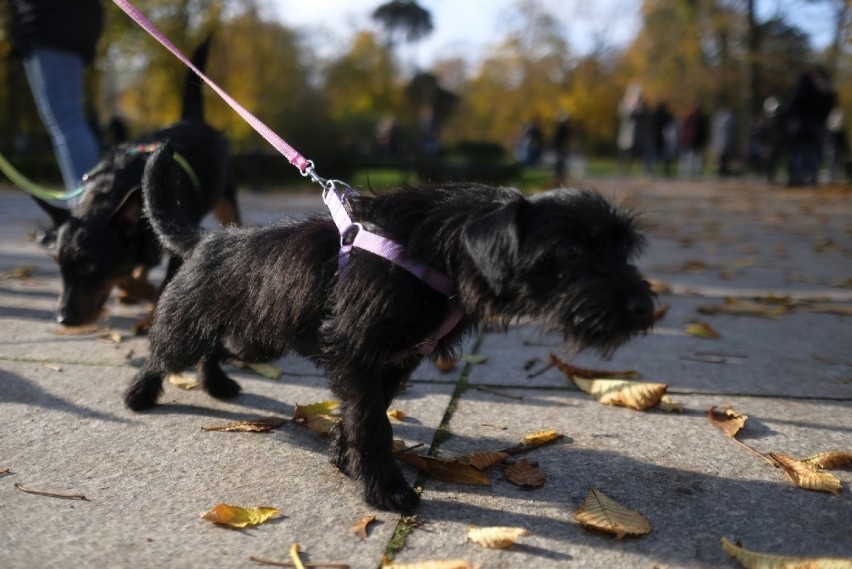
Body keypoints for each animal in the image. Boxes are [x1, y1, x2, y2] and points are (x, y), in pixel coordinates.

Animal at [34, 37, 238, 326]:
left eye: (90, 266)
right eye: (59, 265)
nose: (64, 319)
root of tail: (192, 119)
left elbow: (160, 284)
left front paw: (149, 312)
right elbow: (126, 274)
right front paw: (138, 291)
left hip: (226, 199)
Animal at [126, 145, 656, 510]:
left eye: (623, 248)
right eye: (570, 250)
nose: (644, 307)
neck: (440, 251)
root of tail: (206, 240)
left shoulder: (394, 362)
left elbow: (367, 414)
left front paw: (347, 460)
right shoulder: (358, 355)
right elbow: (371, 422)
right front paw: (383, 488)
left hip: (249, 337)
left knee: (214, 349)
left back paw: (217, 385)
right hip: (190, 325)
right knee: (162, 354)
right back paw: (140, 395)